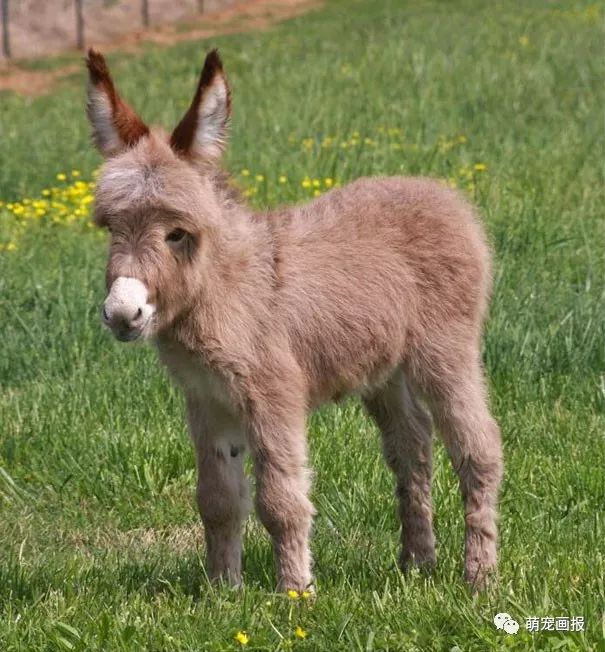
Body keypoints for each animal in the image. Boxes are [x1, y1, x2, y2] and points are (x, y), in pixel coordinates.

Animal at [85, 49, 500, 592]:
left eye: (177, 234)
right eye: (110, 227)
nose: (122, 313)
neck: (224, 290)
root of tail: (447, 196)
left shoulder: (273, 393)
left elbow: (279, 500)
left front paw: (295, 592)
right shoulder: (206, 401)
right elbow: (217, 500)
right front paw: (222, 591)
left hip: (445, 353)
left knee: (478, 449)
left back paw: (480, 577)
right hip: (385, 371)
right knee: (413, 448)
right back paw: (416, 564)